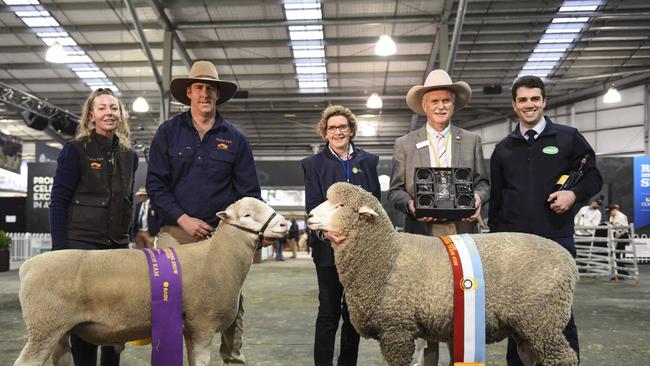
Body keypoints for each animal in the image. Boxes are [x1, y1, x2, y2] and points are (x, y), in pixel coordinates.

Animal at [12, 197, 284, 366]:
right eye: (247, 215)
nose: (284, 224)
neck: (219, 256)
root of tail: (27, 267)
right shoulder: (202, 324)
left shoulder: (190, 328)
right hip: (44, 327)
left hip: (57, 329)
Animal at [306, 183, 576, 366]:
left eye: (341, 206)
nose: (308, 216)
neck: (386, 255)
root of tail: (570, 263)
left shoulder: (396, 329)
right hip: (529, 328)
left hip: (543, 321)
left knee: (565, 358)